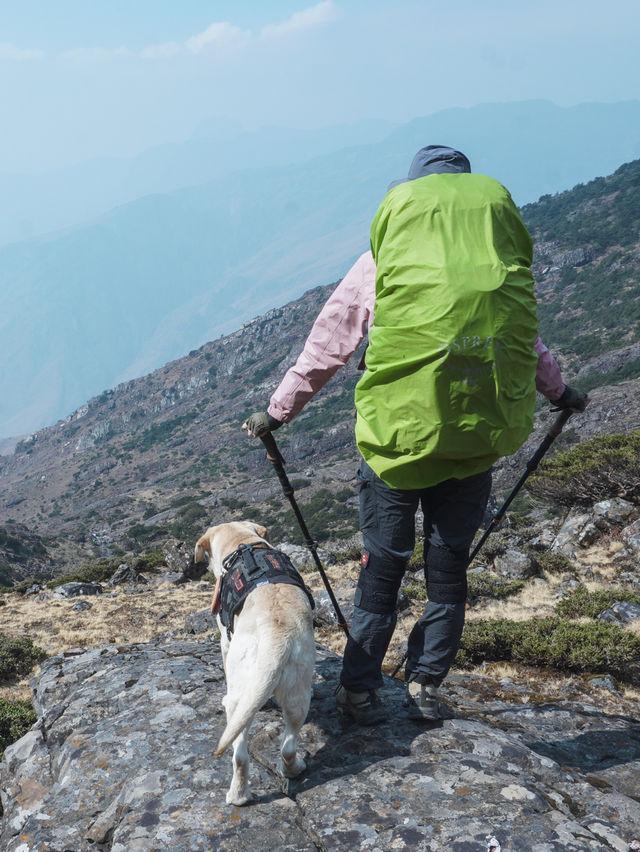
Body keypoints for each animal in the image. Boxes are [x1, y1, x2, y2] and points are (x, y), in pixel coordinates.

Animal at [195, 520, 316, 804]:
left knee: (239, 750)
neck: (242, 542)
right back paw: (289, 771)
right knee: (284, 748)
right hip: (297, 697)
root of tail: (277, 635)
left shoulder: (225, 641)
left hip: (240, 696)